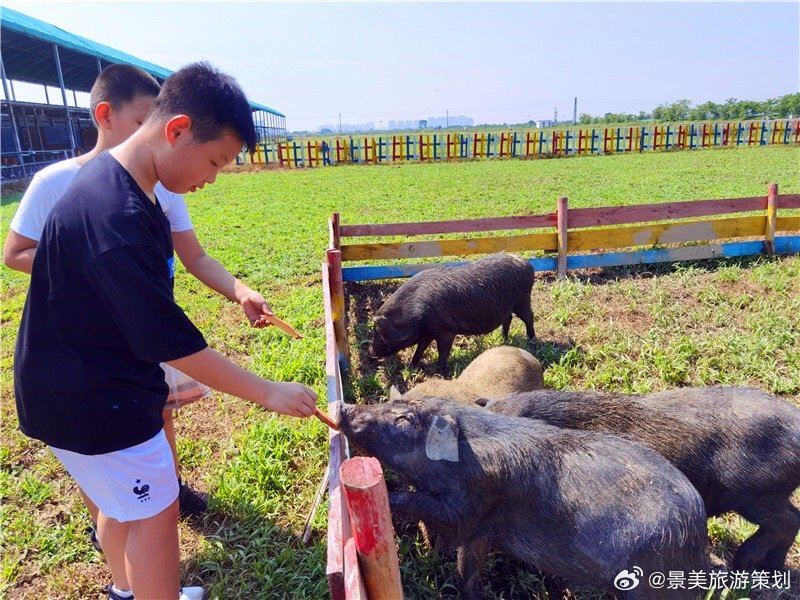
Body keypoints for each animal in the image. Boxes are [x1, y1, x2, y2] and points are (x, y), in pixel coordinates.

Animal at [338, 396, 708, 596]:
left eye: (404, 420)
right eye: (390, 403)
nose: (344, 407)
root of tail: (697, 525)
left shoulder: (475, 501)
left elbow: (445, 519)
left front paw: (390, 495)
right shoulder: (482, 528)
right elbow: (468, 566)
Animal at [372, 252, 536, 370]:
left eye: (377, 331)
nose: (370, 353)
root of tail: (526, 262)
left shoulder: (447, 330)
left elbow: (443, 352)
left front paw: (439, 371)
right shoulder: (427, 332)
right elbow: (420, 348)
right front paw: (412, 365)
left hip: (522, 298)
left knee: (529, 316)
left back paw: (531, 340)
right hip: (508, 306)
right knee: (508, 318)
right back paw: (504, 339)